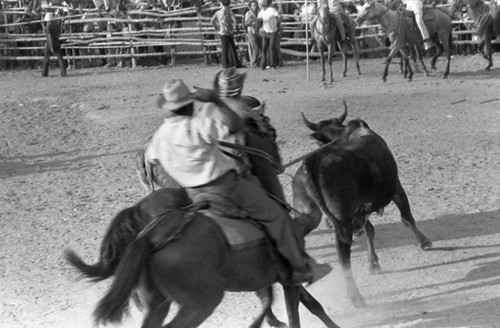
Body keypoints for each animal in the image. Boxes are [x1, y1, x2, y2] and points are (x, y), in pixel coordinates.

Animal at [65, 187, 340, 328]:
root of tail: (151, 236)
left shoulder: (271, 278)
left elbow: (303, 304)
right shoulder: (289, 277)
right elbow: (299, 311)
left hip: (159, 302)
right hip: (201, 303)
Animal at [292, 100, 430, 308]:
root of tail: (312, 163)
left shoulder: (359, 212)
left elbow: (369, 231)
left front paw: (372, 263)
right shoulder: (396, 188)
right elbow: (406, 217)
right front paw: (424, 242)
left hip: (310, 215)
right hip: (342, 221)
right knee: (343, 253)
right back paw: (355, 296)